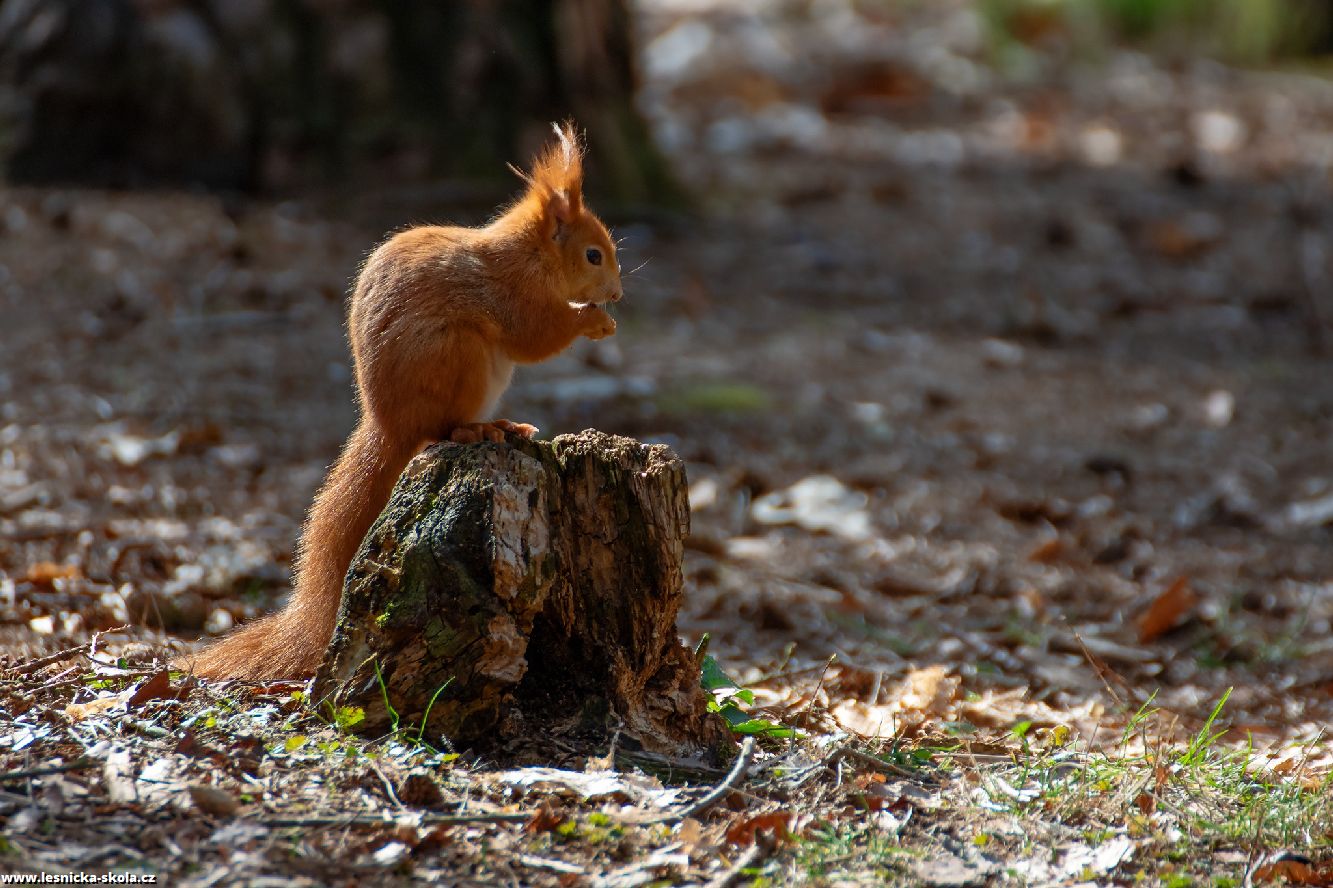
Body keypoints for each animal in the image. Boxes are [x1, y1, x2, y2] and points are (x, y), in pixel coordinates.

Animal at [185, 122, 621, 677]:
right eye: (593, 255)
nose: (617, 294)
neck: (530, 253)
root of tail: (389, 423)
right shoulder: (512, 293)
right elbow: (537, 335)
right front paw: (593, 320)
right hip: (460, 356)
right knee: (442, 428)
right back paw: (479, 429)